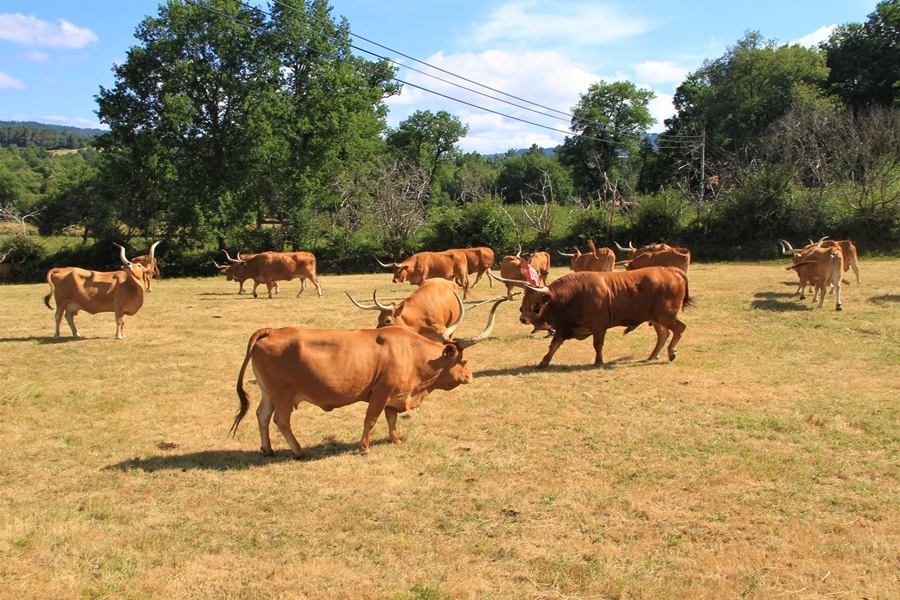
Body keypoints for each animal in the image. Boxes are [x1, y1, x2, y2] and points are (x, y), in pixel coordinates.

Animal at [229, 296, 510, 454]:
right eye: (464, 360)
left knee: (262, 416)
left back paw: (267, 449)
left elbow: (391, 419)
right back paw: (298, 451)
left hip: (268, 393)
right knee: (281, 420)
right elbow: (371, 419)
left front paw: (395, 440)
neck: (412, 351)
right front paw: (364, 448)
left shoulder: (394, 396)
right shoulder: (380, 393)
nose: (470, 376)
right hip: (283, 396)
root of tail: (272, 330)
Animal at [492, 268, 688, 370]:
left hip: (665, 315)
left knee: (679, 328)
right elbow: (554, 345)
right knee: (663, 334)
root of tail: (670, 270)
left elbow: (598, 345)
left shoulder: (599, 326)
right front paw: (544, 362)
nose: (523, 319)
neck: (575, 295)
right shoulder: (564, 328)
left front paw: (598, 362)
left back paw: (671, 352)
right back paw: (653, 355)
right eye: (523, 303)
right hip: (656, 318)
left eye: (536, 304)